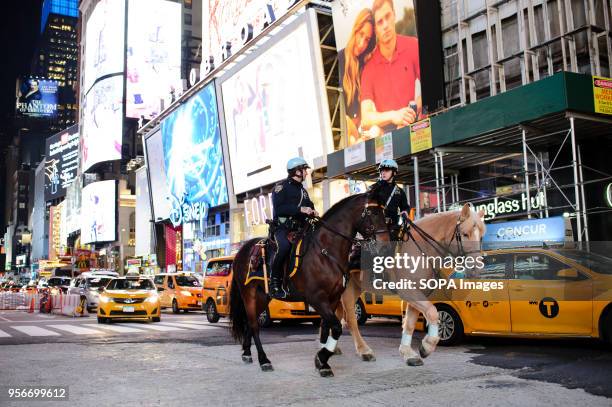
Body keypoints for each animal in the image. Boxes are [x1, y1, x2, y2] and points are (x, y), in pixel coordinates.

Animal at [227, 190, 390, 378]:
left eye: (383, 212)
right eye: (373, 212)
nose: (385, 244)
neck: (325, 251)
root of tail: (242, 251)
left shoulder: (333, 298)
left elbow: (327, 328)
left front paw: (322, 360)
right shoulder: (317, 298)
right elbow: (336, 327)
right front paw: (322, 359)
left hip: (262, 296)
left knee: (249, 323)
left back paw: (247, 353)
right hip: (249, 293)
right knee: (254, 325)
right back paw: (264, 360)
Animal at [338, 204, 486, 366]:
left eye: (481, 236)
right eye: (465, 234)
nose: (476, 270)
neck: (420, 250)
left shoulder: (418, 293)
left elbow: (410, 323)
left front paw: (408, 353)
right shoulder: (408, 291)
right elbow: (433, 312)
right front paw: (427, 346)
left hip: (353, 287)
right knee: (351, 319)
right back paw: (364, 351)